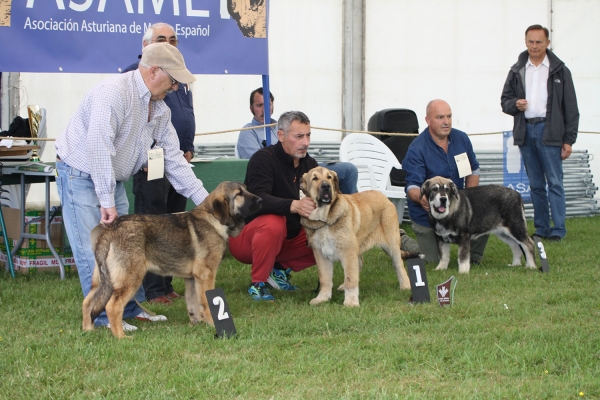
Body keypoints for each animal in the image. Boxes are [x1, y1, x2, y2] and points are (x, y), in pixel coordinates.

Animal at [83, 183, 262, 340]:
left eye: (246, 189)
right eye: (239, 194)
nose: (260, 200)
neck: (214, 218)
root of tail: (111, 228)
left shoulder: (192, 279)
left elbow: (193, 303)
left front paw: (197, 323)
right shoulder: (206, 275)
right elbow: (206, 303)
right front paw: (212, 323)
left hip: (101, 280)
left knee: (87, 302)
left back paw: (88, 331)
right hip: (130, 278)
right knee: (112, 307)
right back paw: (121, 336)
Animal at [298, 166, 420, 306]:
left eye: (329, 177)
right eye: (314, 178)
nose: (326, 186)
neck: (324, 219)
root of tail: (384, 197)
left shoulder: (348, 251)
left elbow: (351, 278)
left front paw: (351, 303)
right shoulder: (320, 254)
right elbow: (325, 279)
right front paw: (322, 298)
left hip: (392, 244)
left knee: (398, 265)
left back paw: (406, 286)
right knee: (359, 264)